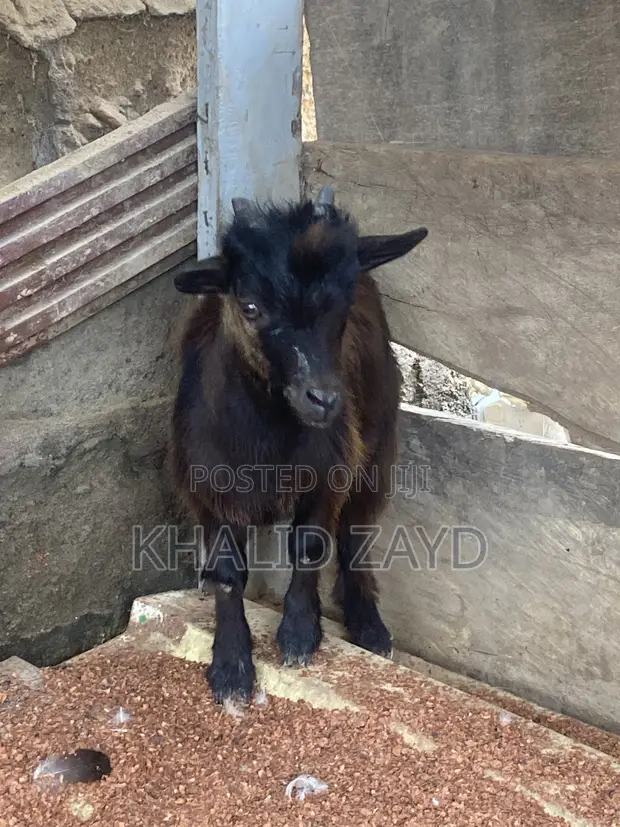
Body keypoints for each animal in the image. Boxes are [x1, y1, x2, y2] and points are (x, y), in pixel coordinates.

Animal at [169, 185, 427, 704]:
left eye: (343, 303)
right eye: (250, 306)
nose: (324, 400)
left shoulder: (329, 473)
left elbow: (309, 547)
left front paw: (299, 634)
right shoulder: (206, 490)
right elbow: (227, 574)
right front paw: (231, 666)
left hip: (377, 447)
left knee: (356, 535)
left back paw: (369, 625)